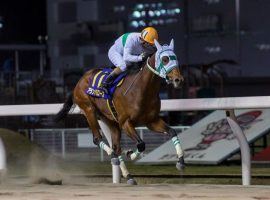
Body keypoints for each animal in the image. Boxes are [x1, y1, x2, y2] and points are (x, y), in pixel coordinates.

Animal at [54, 39, 186, 184]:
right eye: (165, 59)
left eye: (175, 58)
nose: (178, 80)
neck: (142, 89)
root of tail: (79, 82)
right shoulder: (126, 122)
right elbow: (141, 144)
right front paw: (130, 154)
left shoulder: (151, 121)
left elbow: (172, 132)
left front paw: (180, 162)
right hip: (89, 110)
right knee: (98, 139)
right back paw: (113, 156)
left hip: (111, 121)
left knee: (116, 147)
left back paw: (128, 175)